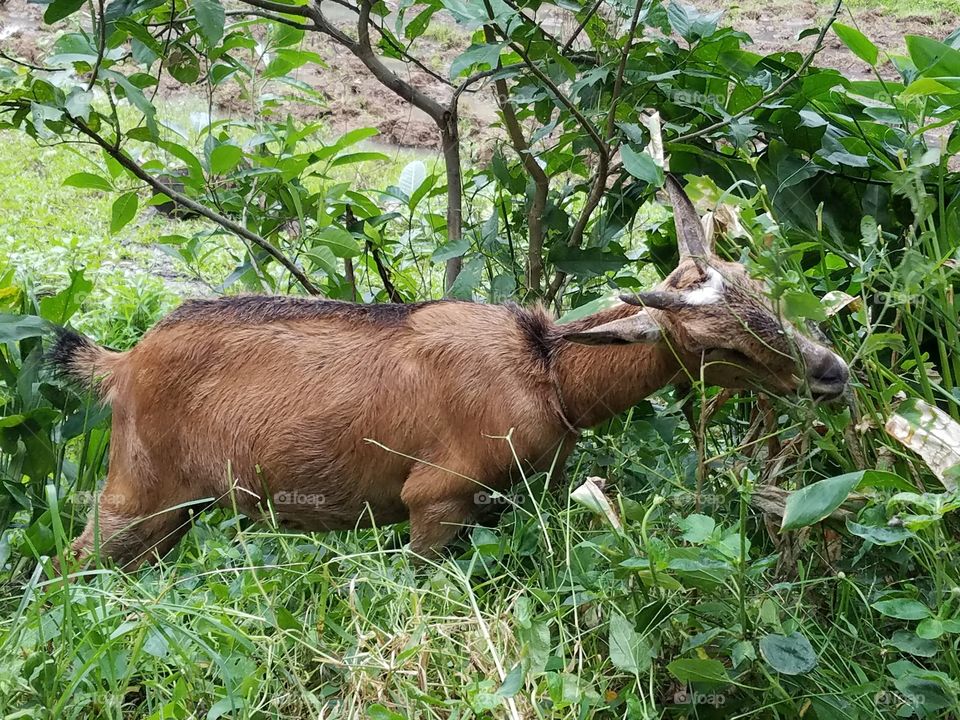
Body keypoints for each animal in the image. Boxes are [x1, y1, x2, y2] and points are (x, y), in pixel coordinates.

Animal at [50, 176, 850, 568]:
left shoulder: (510, 500)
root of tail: (122, 362)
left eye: (758, 287)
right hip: (137, 491)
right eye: (719, 347)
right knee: (73, 562)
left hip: (179, 510)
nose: (833, 374)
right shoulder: (436, 498)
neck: (545, 372)